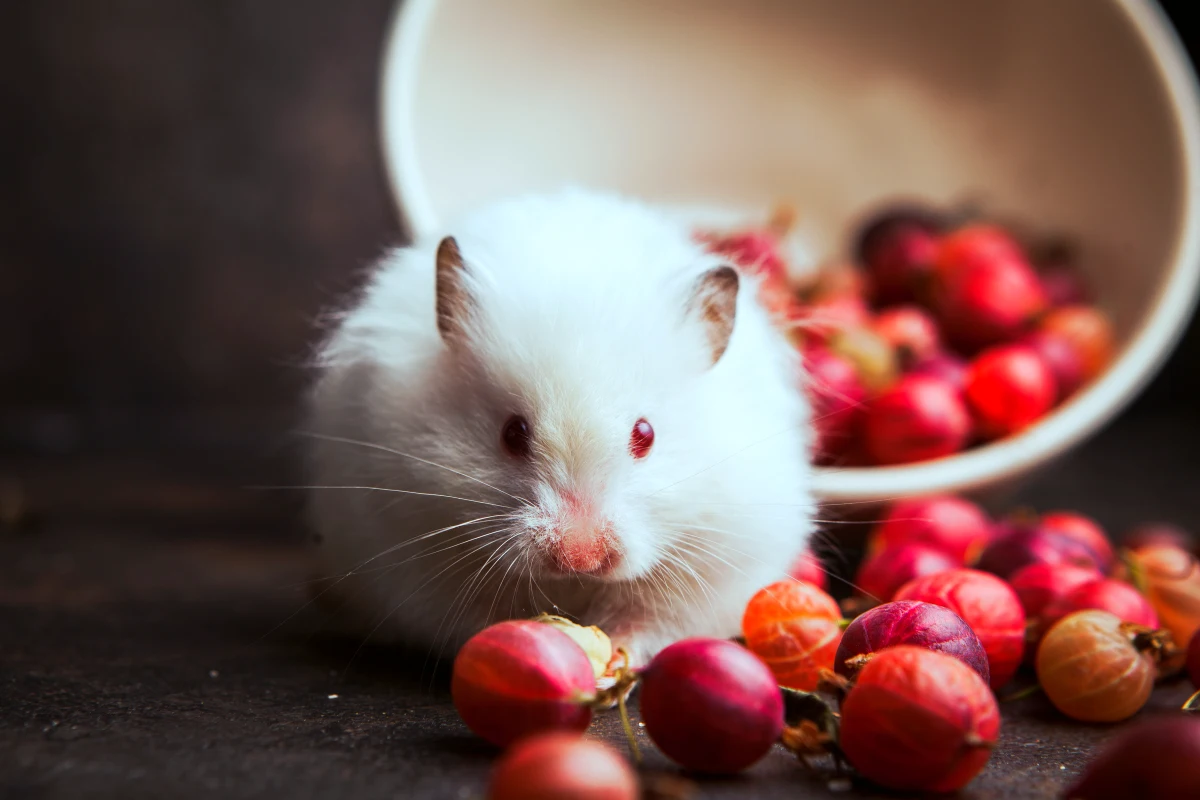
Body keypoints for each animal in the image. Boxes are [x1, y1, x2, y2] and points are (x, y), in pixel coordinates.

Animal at [304, 189, 820, 671]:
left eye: (646, 434)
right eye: (512, 433)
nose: (580, 559)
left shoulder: (715, 564)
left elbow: (648, 619)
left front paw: (616, 657)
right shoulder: (411, 546)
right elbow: (477, 616)